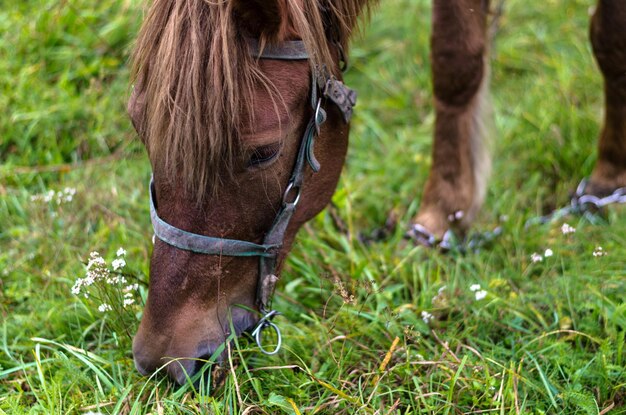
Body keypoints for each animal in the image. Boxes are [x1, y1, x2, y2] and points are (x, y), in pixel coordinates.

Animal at [127, 0, 624, 386]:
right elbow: (453, 60)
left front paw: (609, 179)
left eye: (261, 153)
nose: (161, 359)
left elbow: (609, 39)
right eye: (137, 123)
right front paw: (444, 214)